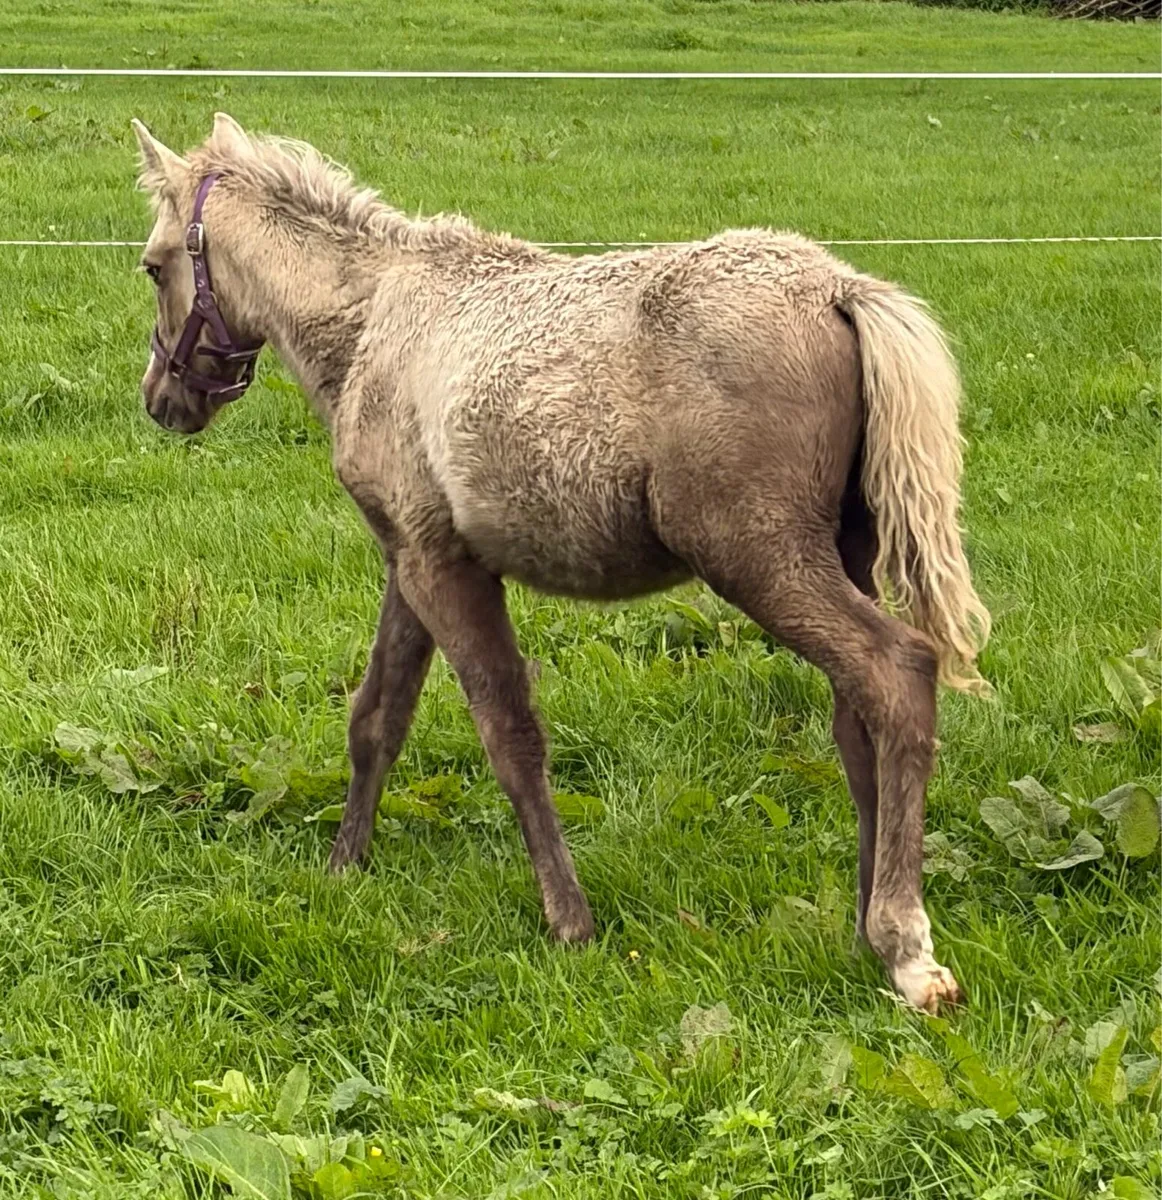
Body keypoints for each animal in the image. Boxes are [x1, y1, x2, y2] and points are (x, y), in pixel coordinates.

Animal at [132, 113, 990, 1013]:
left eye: (154, 265)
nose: (163, 398)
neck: (373, 326)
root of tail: (840, 291)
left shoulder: (444, 567)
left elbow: (510, 736)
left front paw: (568, 918)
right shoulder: (411, 555)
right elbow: (377, 719)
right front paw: (343, 868)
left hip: (759, 557)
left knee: (899, 672)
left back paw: (904, 944)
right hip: (842, 554)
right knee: (857, 719)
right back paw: (864, 927)